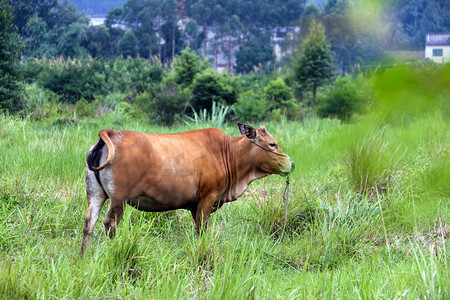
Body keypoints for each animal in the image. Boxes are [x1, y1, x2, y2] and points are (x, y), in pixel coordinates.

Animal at [81, 123, 294, 254]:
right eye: (272, 144)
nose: (290, 164)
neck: (228, 153)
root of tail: (112, 133)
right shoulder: (208, 198)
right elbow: (201, 229)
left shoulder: (195, 205)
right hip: (119, 199)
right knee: (110, 223)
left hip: (96, 195)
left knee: (89, 222)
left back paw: (84, 258)